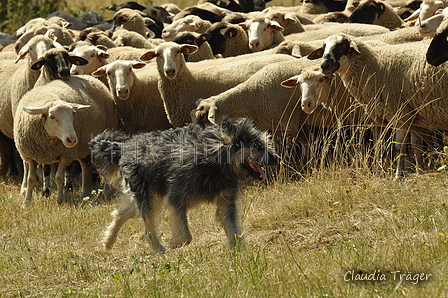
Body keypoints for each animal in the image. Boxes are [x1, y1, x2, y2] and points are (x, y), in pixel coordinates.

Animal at [14, 74, 119, 206]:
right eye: (52, 116)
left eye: (73, 114)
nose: (72, 140)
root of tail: (89, 76)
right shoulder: (31, 157)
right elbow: (30, 179)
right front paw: (26, 202)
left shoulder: (66, 155)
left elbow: (59, 177)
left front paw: (59, 200)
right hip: (83, 147)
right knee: (86, 167)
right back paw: (85, 193)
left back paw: (106, 193)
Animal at [90, 117, 280, 253]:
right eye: (258, 146)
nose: (277, 159)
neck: (215, 160)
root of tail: (125, 146)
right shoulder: (175, 198)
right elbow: (186, 236)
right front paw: (174, 243)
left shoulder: (226, 202)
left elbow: (234, 229)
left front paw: (240, 253)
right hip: (147, 197)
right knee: (147, 230)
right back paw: (160, 250)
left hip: (149, 196)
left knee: (119, 214)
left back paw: (107, 242)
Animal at [306, 33, 446, 176]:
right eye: (324, 47)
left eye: (344, 46)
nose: (324, 65)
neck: (377, 67)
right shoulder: (407, 115)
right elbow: (407, 145)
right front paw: (417, 171)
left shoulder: (400, 113)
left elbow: (398, 147)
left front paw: (398, 175)